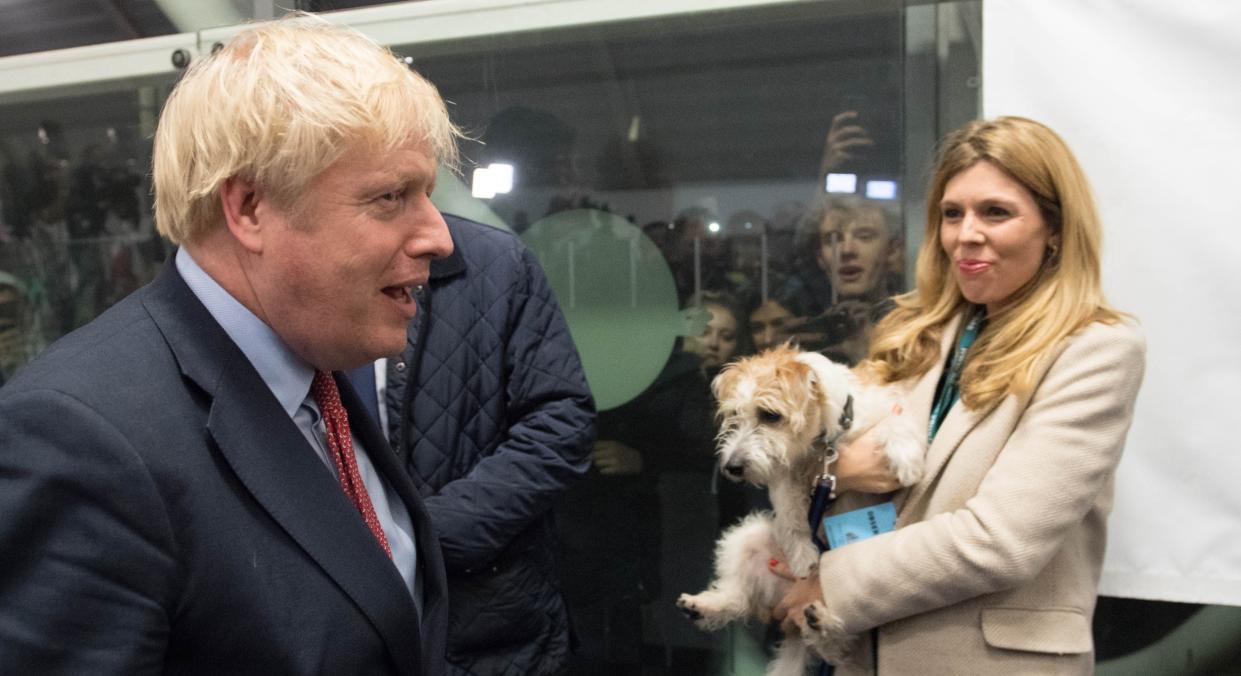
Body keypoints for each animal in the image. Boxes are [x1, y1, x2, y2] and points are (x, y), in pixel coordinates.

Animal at [675, 344, 928, 669]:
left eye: (769, 415)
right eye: (734, 415)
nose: (732, 467)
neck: (824, 443)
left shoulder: (886, 410)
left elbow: (898, 423)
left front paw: (907, 460)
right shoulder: (784, 475)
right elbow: (790, 515)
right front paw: (803, 555)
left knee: (838, 649)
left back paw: (822, 625)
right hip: (747, 537)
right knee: (740, 599)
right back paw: (705, 605)